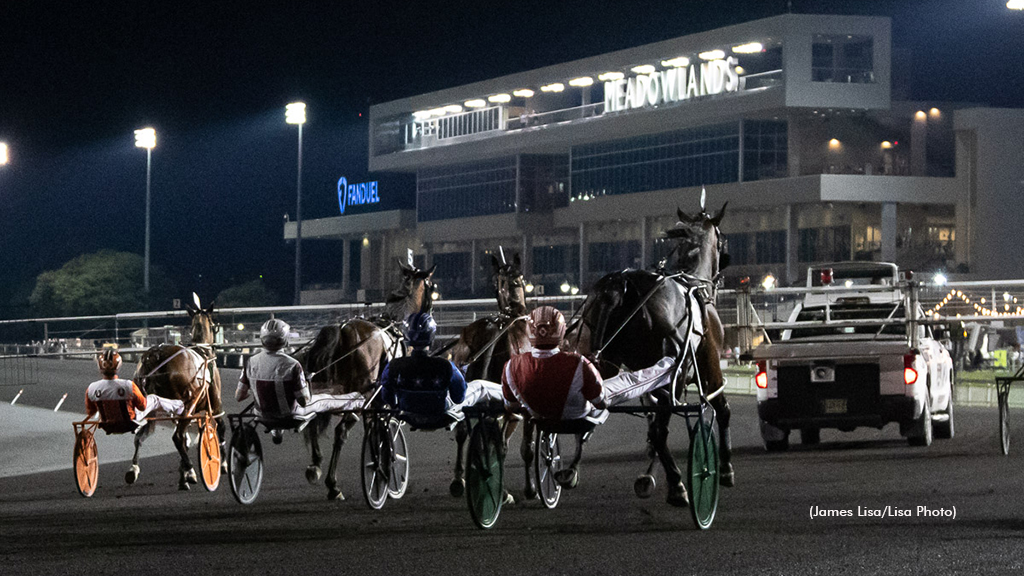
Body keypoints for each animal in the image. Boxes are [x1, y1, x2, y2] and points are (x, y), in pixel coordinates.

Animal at [130, 301, 222, 487]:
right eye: (214, 323)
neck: (203, 353)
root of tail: (155, 355)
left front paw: (183, 473)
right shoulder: (215, 405)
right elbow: (220, 426)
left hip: (152, 408)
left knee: (140, 436)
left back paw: (133, 469)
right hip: (186, 406)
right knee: (177, 437)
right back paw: (192, 470)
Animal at [299, 260, 436, 498]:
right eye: (432, 286)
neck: (396, 321)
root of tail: (342, 331)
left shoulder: (375, 399)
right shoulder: (378, 398)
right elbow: (383, 428)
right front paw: (386, 465)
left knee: (315, 419)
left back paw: (315, 466)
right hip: (358, 395)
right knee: (341, 431)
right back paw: (333, 484)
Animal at [581, 202, 733, 506]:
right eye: (722, 239)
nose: (726, 260)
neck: (692, 283)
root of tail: (621, 283)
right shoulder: (710, 365)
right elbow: (721, 408)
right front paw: (724, 468)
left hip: (606, 361)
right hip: (663, 371)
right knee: (661, 431)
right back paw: (677, 484)